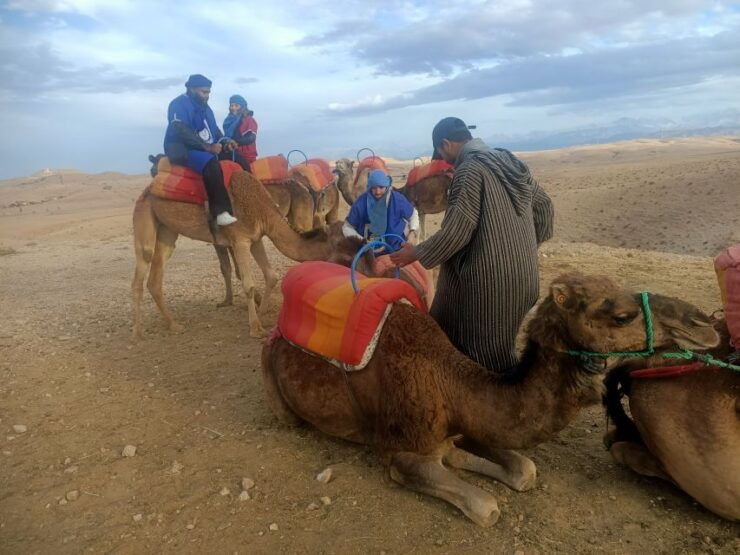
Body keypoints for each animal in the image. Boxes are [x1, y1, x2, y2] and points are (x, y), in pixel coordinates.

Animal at [132, 170, 338, 339]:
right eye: (338, 246)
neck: (262, 208)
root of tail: (148, 188)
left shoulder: (255, 238)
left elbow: (271, 276)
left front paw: (262, 313)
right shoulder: (240, 240)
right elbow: (248, 284)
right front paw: (256, 328)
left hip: (167, 230)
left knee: (155, 276)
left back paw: (174, 325)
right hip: (144, 213)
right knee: (143, 263)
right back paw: (139, 332)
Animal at [262, 273, 719, 525]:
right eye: (621, 315)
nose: (705, 324)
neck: (448, 381)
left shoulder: (464, 423)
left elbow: (523, 468)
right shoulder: (398, 451)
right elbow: (486, 506)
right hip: (276, 387)